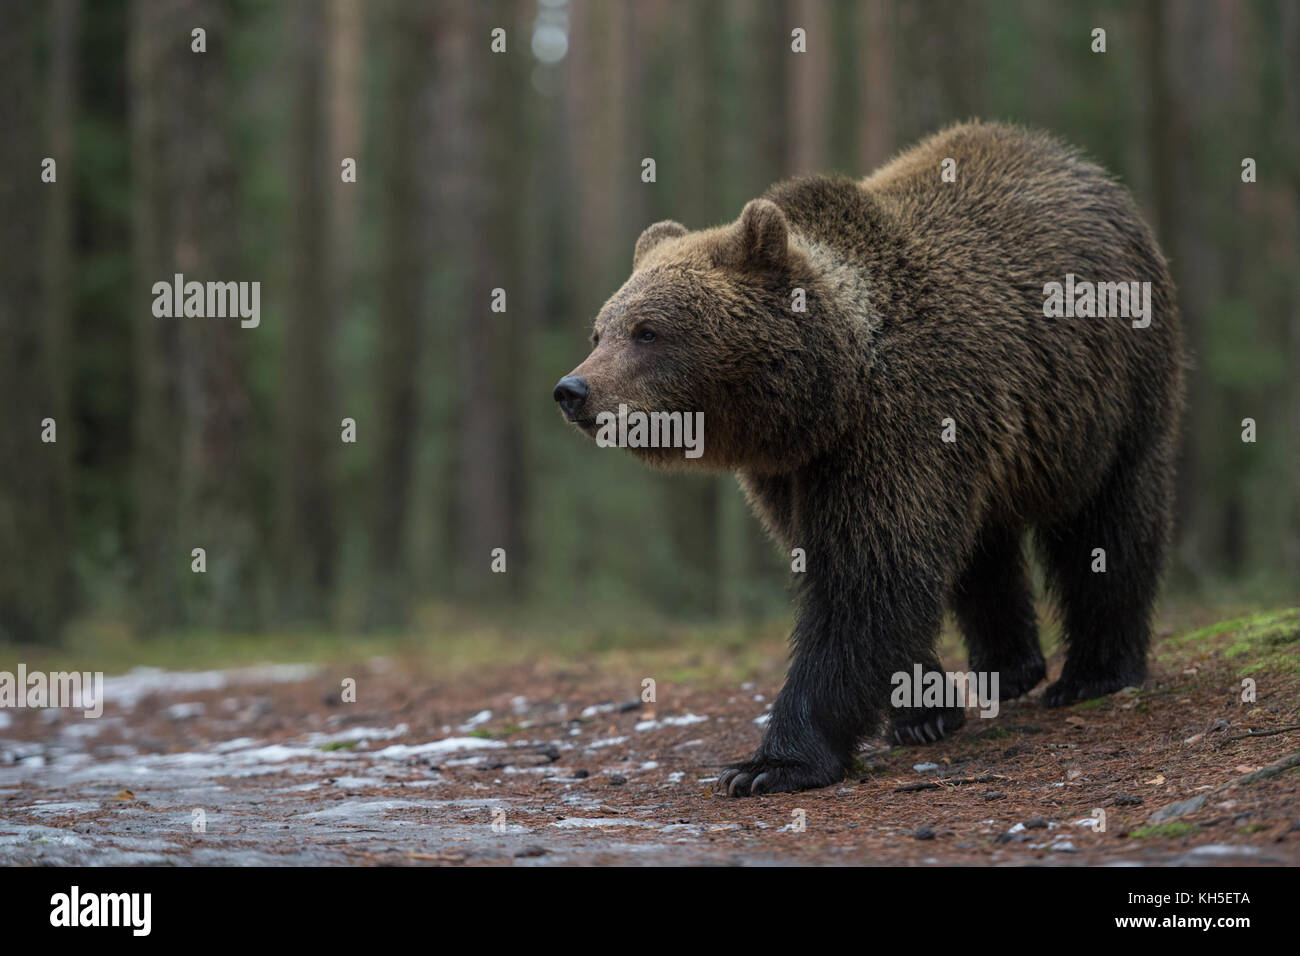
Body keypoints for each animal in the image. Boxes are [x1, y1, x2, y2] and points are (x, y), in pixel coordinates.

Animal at [553, 121, 1185, 796]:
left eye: (647, 330)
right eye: (601, 331)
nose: (573, 390)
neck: (832, 391)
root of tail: (1082, 166)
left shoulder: (900, 423)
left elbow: (866, 579)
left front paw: (770, 763)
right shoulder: (792, 470)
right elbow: (871, 567)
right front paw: (923, 711)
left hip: (1112, 388)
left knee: (1111, 521)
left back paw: (1094, 671)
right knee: (982, 543)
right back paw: (1009, 666)